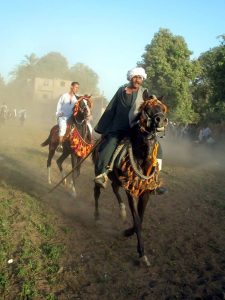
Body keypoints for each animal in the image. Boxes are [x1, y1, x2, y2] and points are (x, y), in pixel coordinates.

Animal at [92, 95, 168, 264]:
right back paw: (97, 217)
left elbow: (140, 219)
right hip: (99, 172)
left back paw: (121, 211)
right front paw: (142, 253)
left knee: (115, 189)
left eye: (162, 107)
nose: (160, 120)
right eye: (147, 109)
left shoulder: (145, 192)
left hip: (117, 179)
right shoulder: (131, 191)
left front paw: (127, 231)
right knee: (97, 192)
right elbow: (138, 221)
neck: (142, 158)